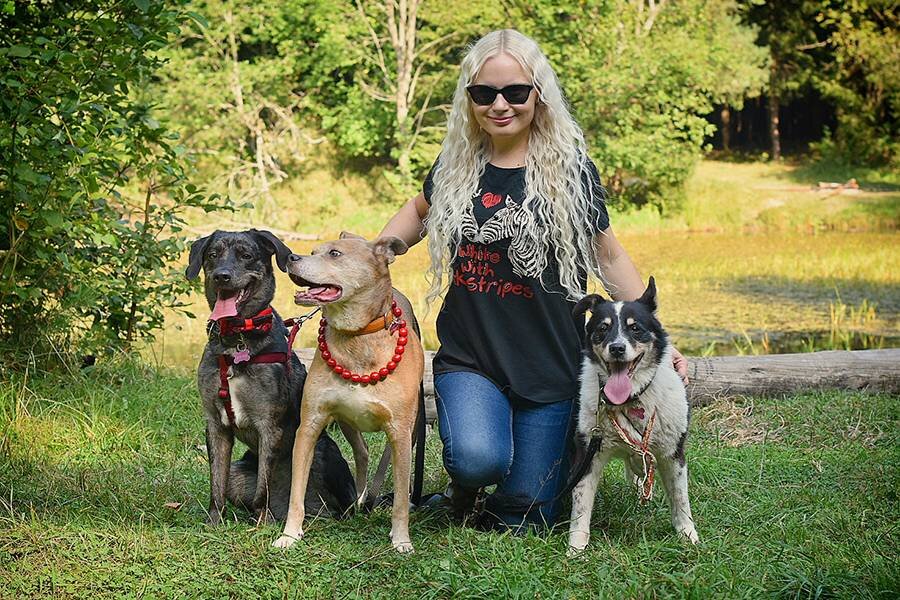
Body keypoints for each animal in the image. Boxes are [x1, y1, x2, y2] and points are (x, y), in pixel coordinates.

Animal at [185, 229, 357, 525]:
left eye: (246, 255)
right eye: (213, 255)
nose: (221, 275)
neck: (238, 340)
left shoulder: (270, 426)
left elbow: (262, 487)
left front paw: (261, 524)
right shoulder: (216, 426)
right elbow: (216, 483)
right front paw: (214, 521)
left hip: (322, 450)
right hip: (238, 471)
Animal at [273, 232, 425, 553]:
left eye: (334, 253)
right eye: (313, 251)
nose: (291, 256)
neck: (358, 336)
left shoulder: (400, 433)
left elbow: (400, 499)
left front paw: (401, 539)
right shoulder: (309, 426)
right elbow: (296, 493)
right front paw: (290, 534)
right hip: (347, 422)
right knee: (363, 452)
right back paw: (359, 500)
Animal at [567, 277, 698, 554]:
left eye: (635, 328)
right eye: (603, 328)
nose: (617, 348)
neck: (630, 401)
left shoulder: (673, 453)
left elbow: (680, 499)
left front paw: (688, 535)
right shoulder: (588, 453)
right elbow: (581, 505)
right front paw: (576, 549)